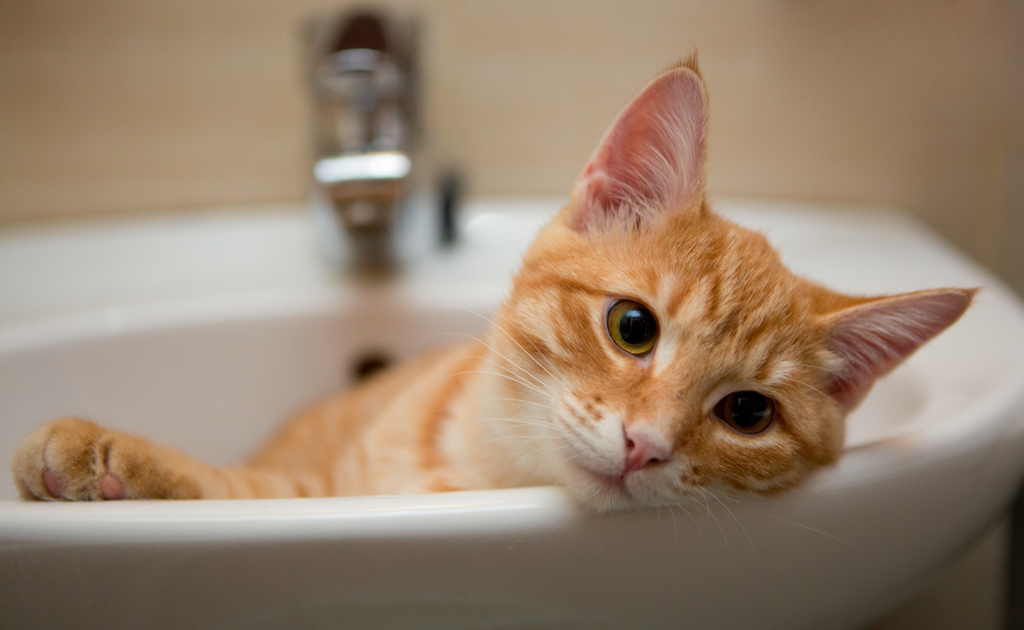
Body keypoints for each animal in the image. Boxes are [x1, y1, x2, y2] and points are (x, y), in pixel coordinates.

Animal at [12, 57, 970, 512]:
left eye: (746, 413)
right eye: (633, 327)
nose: (645, 446)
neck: (479, 474)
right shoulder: (317, 485)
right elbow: (246, 488)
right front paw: (118, 457)